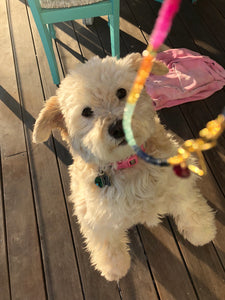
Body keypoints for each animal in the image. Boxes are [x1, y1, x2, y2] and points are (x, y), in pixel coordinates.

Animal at [32, 53, 215, 282]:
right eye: (86, 112)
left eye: (121, 92)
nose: (118, 127)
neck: (127, 164)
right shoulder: (93, 215)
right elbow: (106, 245)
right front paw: (114, 268)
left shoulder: (177, 183)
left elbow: (190, 206)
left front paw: (202, 232)